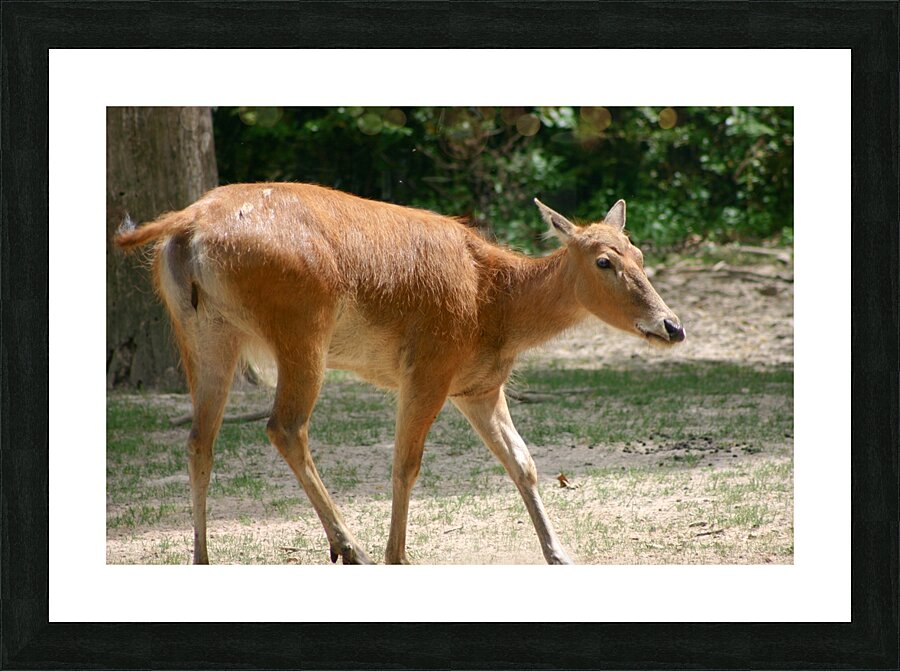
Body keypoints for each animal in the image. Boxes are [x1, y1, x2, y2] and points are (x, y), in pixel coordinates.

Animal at [115, 182, 685, 565]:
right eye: (604, 261)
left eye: (640, 252)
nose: (672, 326)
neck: (496, 309)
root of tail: (184, 226)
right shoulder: (429, 368)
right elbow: (405, 465)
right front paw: (398, 555)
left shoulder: (478, 386)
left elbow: (522, 462)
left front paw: (560, 554)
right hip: (301, 329)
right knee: (284, 426)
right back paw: (352, 549)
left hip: (204, 332)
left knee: (199, 438)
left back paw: (203, 557)